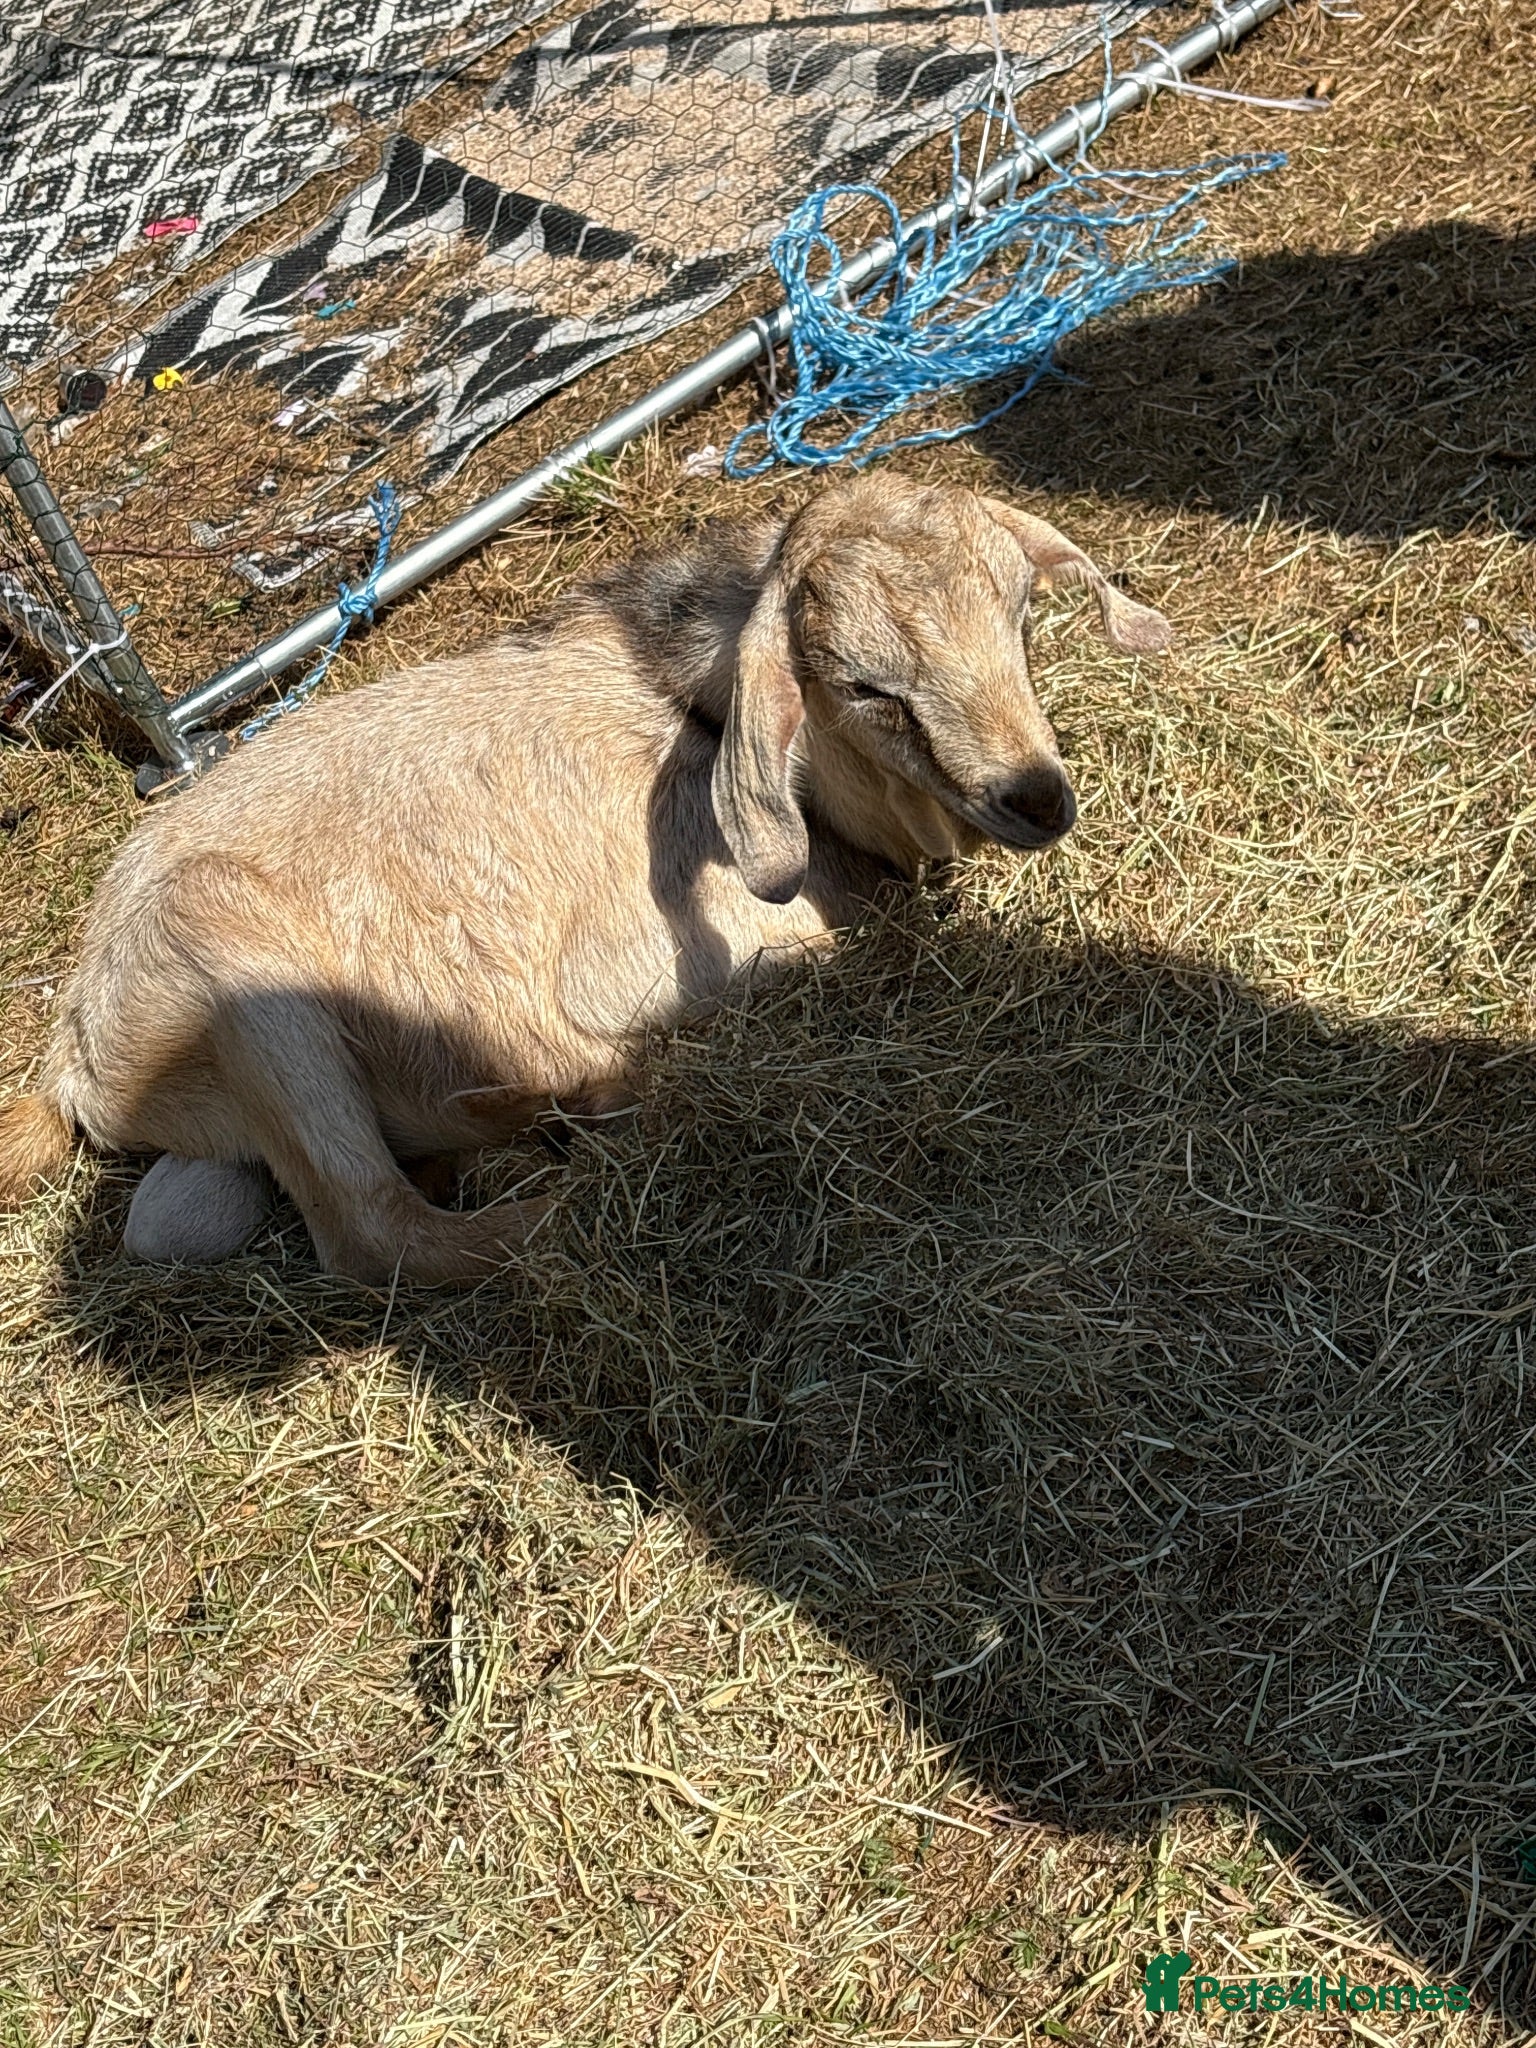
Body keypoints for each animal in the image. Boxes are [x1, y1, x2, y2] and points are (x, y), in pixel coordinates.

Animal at [0, 474, 1169, 1284]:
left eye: (1019, 615)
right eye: (863, 685)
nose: (1036, 796)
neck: (698, 715)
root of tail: (74, 1053)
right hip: (236, 977)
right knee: (375, 1234)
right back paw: (565, 1176)